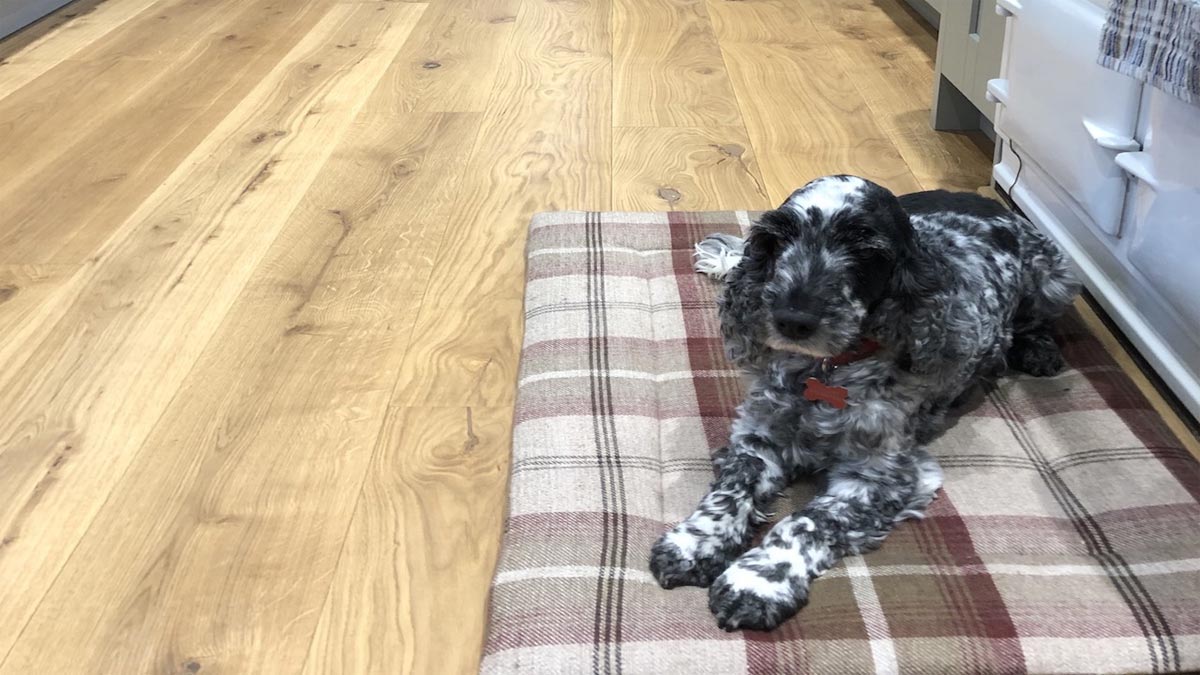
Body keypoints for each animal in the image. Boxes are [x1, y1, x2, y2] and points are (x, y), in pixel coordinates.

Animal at [652, 174, 1084, 629]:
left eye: (865, 251)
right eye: (779, 239)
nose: (793, 319)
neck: (825, 372)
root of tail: (977, 197)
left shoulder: (880, 477)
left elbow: (806, 521)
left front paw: (759, 581)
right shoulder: (758, 438)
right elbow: (731, 490)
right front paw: (695, 543)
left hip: (1057, 279)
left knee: (1036, 321)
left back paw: (1038, 350)